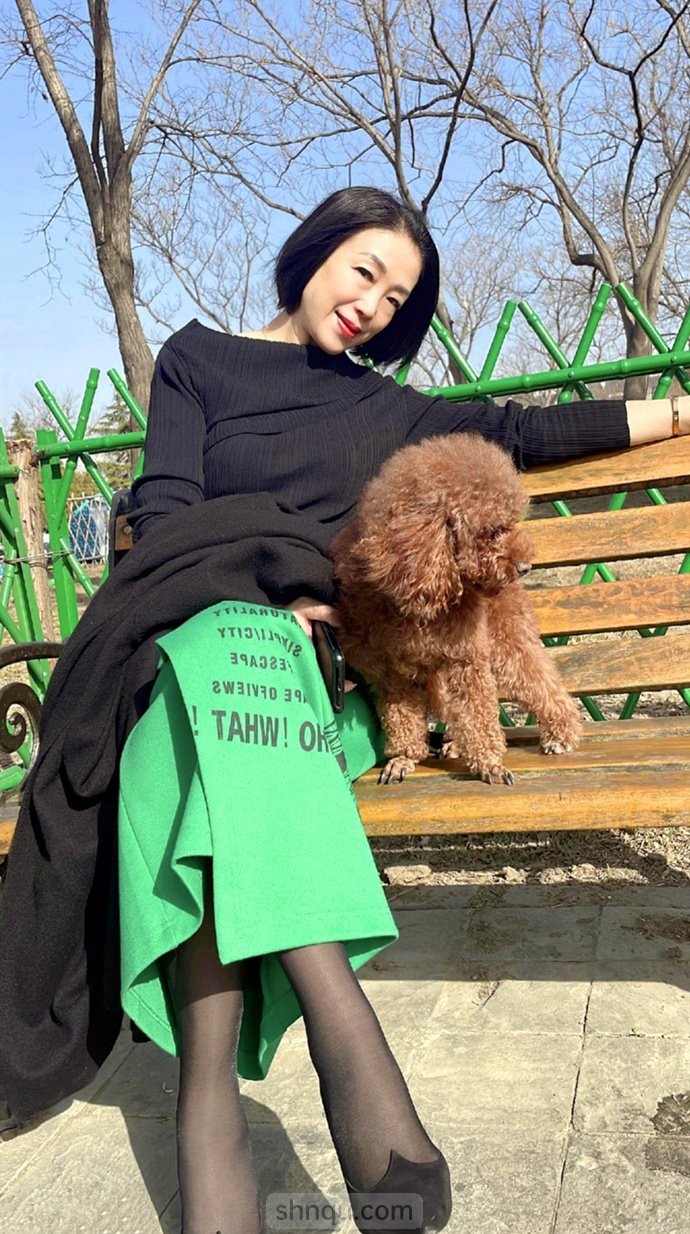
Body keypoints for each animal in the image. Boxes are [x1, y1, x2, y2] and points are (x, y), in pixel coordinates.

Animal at [330, 432, 583, 784]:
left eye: (509, 525)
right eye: (493, 531)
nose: (525, 567)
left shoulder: (466, 658)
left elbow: (479, 715)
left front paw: (490, 764)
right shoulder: (391, 671)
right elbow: (402, 718)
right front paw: (404, 758)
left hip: (505, 642)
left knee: (540, 682)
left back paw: (561, 735)